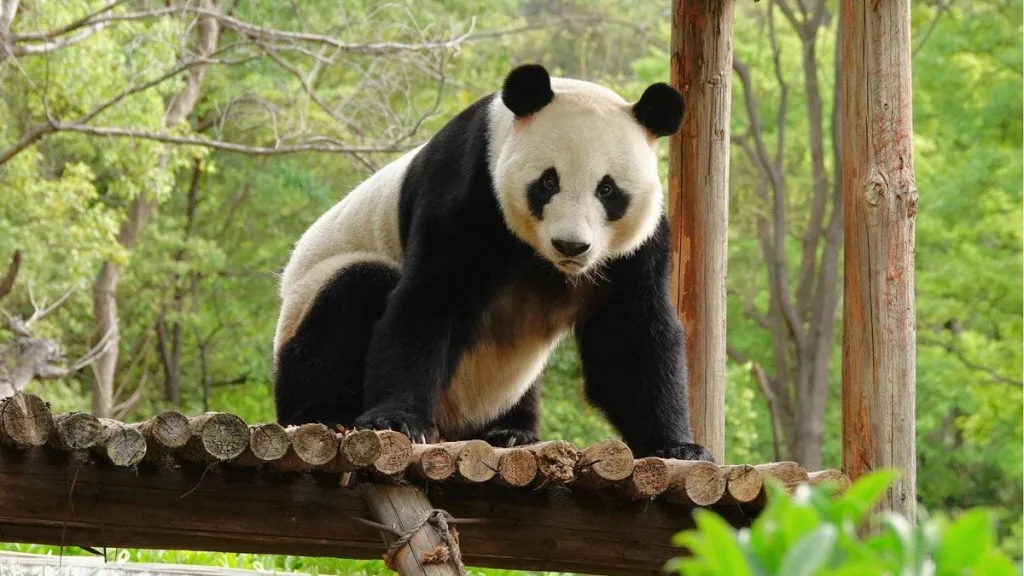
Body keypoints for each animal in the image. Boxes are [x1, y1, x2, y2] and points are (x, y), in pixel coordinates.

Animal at [272, 63, 713, 462]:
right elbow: (427, 300)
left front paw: (678, 446)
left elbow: (630, 337)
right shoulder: (466, 192)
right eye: (548, 181)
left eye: (607, 190)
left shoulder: (634, 249)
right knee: (352, 291)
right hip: (306, 308)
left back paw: (510, 432)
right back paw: (330, 413)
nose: (571, 245)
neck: (544, 260)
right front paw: (397, 420)